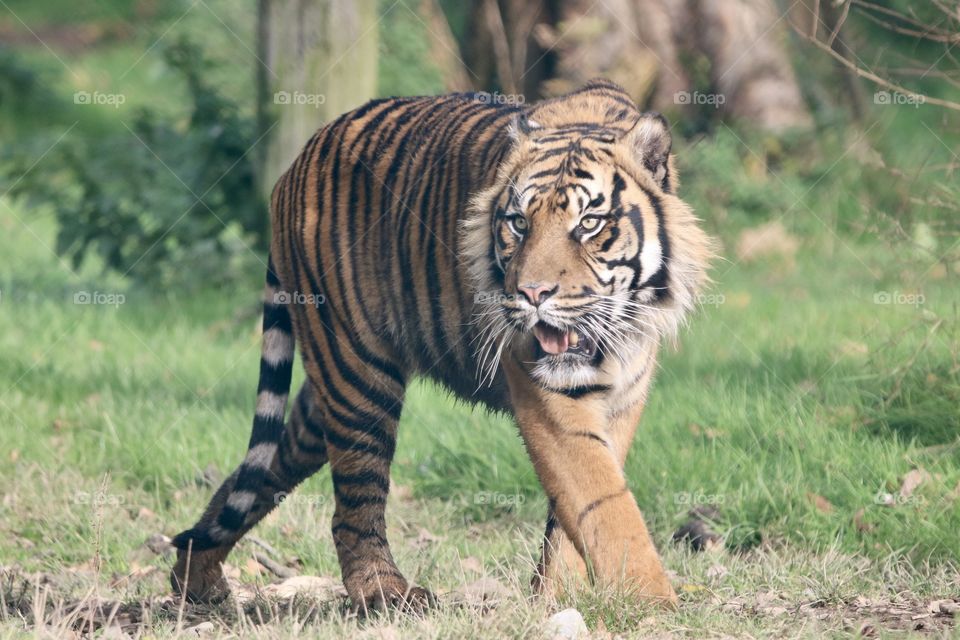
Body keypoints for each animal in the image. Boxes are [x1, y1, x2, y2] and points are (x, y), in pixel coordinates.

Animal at [170, 79, 713, 613]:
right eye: (518, 223)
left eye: (589, 224)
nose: (532, 294)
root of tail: (295, 163)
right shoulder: (548, 392)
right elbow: (604, 501)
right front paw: (653, 604)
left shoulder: (622, 397)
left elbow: (577, 510)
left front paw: (561, 596)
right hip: (356, 374)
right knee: (355, 503)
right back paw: (385, 593)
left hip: (323, 393)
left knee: (263, 470)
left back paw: (194, 575)